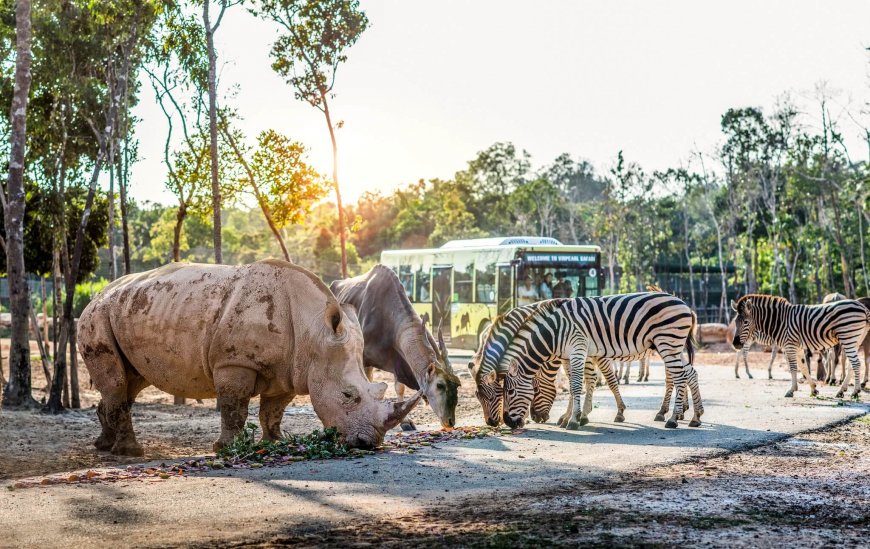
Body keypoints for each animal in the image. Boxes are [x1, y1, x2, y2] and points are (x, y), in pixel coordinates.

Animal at [498, 288, 700, 430]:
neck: (555, 332)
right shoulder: (570, 355)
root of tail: (685, 304)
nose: (508, 422)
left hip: (668, 343)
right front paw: (570, 417)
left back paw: (673, 418)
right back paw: (696, 416)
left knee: (679, 377)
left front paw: (574, 420)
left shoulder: (578, 349)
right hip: (671, 346)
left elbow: (576, 386)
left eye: (510, 392)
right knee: (690, 373)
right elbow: (575, 385)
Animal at [732, 292, 870, 398]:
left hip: (848, 338)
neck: (780, 321)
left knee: (856, 363)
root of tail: (863, 308)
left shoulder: (790, 346)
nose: (735, 343)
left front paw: (791, 390)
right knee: (851, 365)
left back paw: (855, 392)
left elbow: (793, 368)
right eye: (735, 322)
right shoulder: (797, 347)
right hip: (855, 340)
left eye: (746, 322)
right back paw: (841, 391)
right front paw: (813, 389)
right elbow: (804, 367)